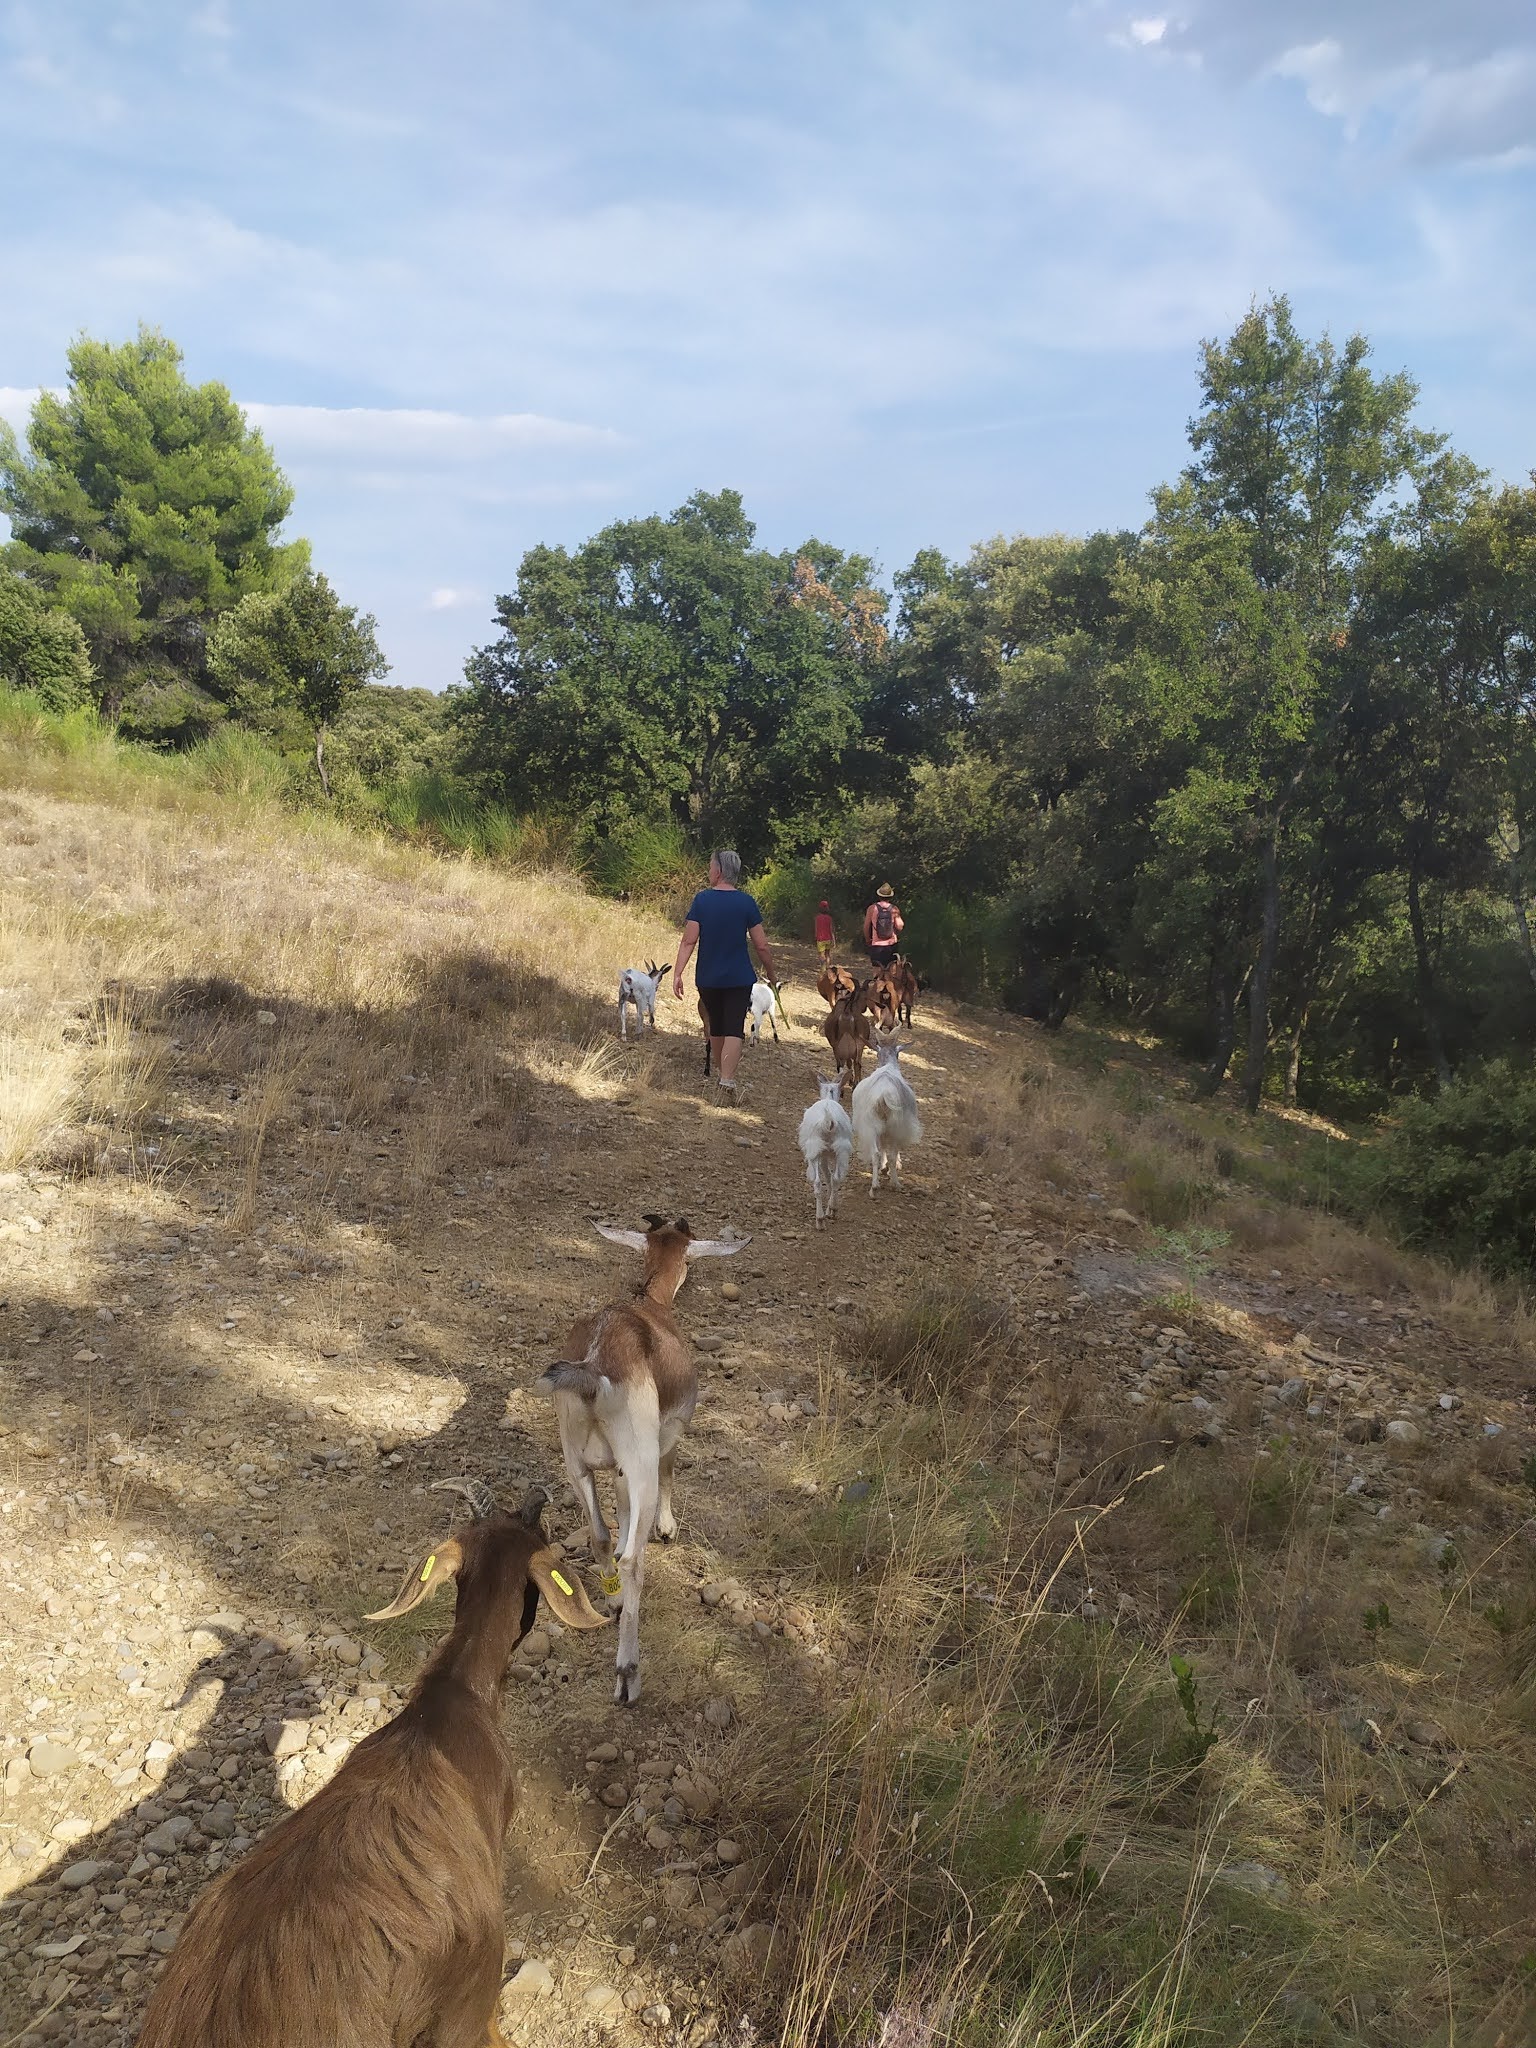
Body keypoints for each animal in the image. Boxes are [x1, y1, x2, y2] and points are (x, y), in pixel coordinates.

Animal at [536, 1216, 749, 1705]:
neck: (653, 1308)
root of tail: (595, 1371)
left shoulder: (615, 1468)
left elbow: (618, 1512)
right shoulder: (668, 1436)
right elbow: (669, 1477)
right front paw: (667, 1528)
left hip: (574, 1462)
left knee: (597, 1535)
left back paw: (613, 1599)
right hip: (641, 1459)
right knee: (635, 1560)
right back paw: (627, 1675)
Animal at [797, 1076, 853, 1227]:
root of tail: (828, 1121)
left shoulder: (823, 1156)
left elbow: (827, 1176)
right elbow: (830, 1177)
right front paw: (829, 1209)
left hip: (816, 1149)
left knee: (821, 1181)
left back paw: (823, 1217)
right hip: (840, 1149)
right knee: (834, 1179)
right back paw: (828, 1213)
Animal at [850, 1038, 923, 1194]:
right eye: (898, 1054)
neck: (888, 1065)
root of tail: (884, 1094)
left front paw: (882, 1168)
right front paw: (887, 1168)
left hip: (872, 1125)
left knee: (876, 1153)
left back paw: (874, 1186)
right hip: (895, 1125)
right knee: (891, 1155)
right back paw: (895, 1182)